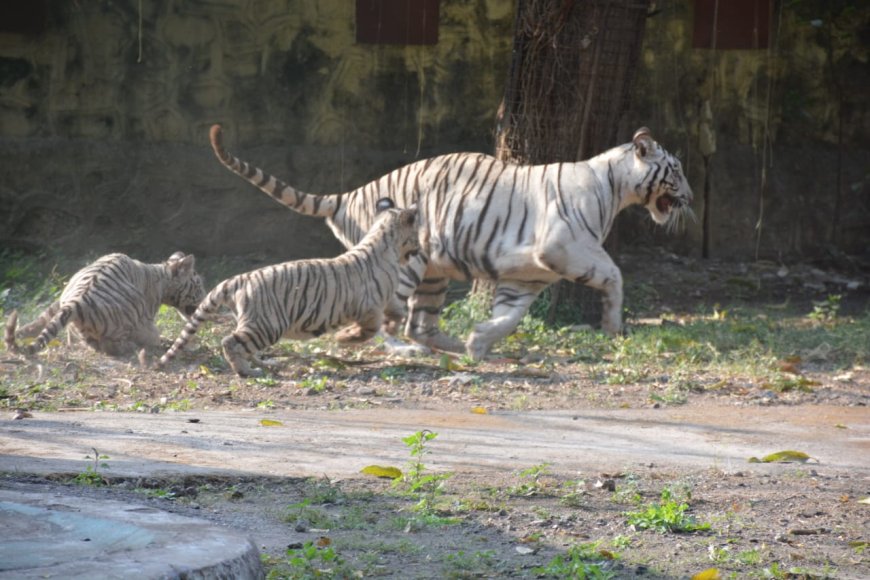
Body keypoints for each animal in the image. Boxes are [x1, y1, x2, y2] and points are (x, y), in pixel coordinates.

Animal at [211, 127, 696, 358]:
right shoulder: (564, 247)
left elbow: (509, 317)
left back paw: (450, 346)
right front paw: (614, 325)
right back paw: (395, 347)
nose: (692, 198)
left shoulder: (527, 275)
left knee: (418, 323)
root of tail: (350, 194)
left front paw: (480, 342)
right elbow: (613, 274)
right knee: (388, 318)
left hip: (433, 272)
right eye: (677, 169)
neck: (615, 185)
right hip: (405, 262)